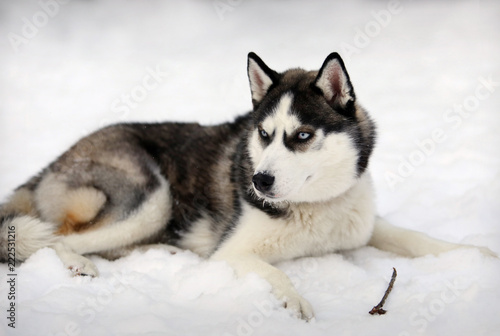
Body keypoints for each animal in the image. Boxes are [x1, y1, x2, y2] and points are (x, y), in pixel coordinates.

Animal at [0, 52, 496, 320]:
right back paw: (78, 263)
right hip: (152, 197)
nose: (259, 180)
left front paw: (477, 253)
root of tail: (53, 162)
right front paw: (295, 302)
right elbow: (273, 272)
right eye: (264, 134)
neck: (316, 208)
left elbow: (417, 238)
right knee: (57, 238)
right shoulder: (232, 252)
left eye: (302, 136)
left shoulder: (362, 224)